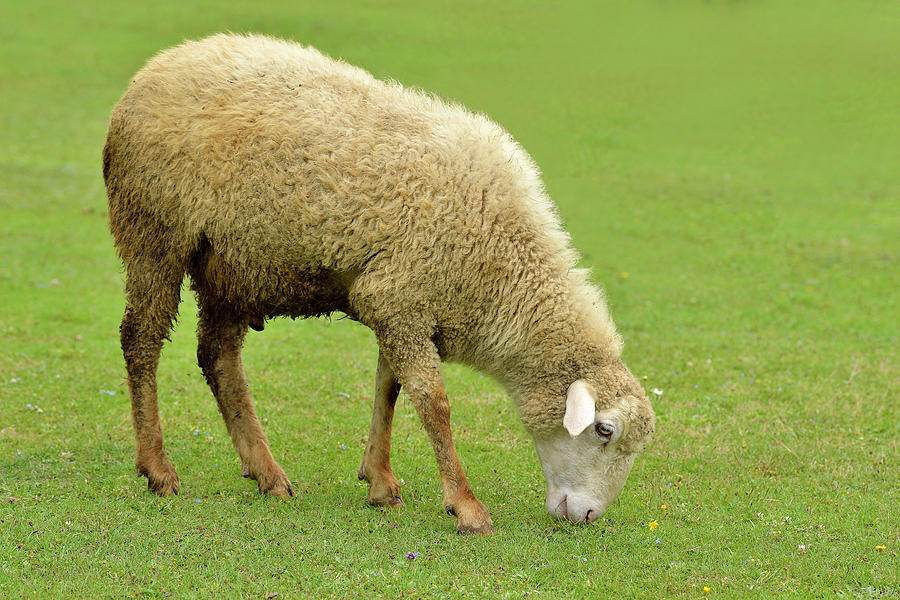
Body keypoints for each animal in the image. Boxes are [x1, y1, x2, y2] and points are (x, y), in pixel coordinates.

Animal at [103, 33, 655, 534]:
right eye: (604, 430)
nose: (588, 516)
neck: (501, 267)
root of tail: (158, 65)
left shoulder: (400, 305)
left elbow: (389, 388)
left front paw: (380, 480)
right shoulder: (399, 298)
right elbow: (434, 404)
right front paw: (466, 506)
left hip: (231, 265)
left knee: (218, 357)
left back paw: (266, 472)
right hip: (154, 231)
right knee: (142, 340)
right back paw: (158, 468)